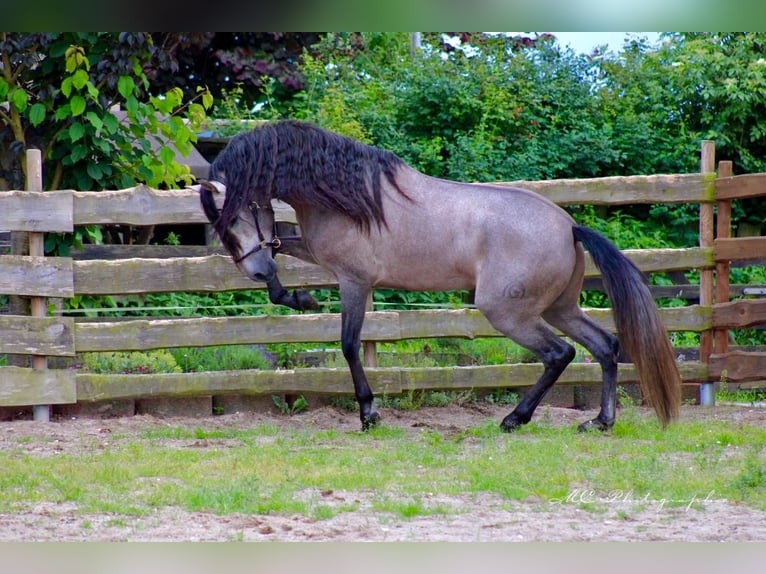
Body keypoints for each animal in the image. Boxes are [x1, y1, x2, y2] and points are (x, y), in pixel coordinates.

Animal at [200, 122, 684, 436]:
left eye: (237, 214)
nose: (253, 270)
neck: (351, 195)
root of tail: (568, 226)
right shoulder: (320, 257)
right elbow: (282, 254)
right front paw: (298, 298)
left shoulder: (354, 281)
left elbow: (350, 345)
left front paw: (368, 414)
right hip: (559, 307)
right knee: (604, 346)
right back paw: (600, 422)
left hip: (509, 312)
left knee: (559, 354)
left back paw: (515, 419)